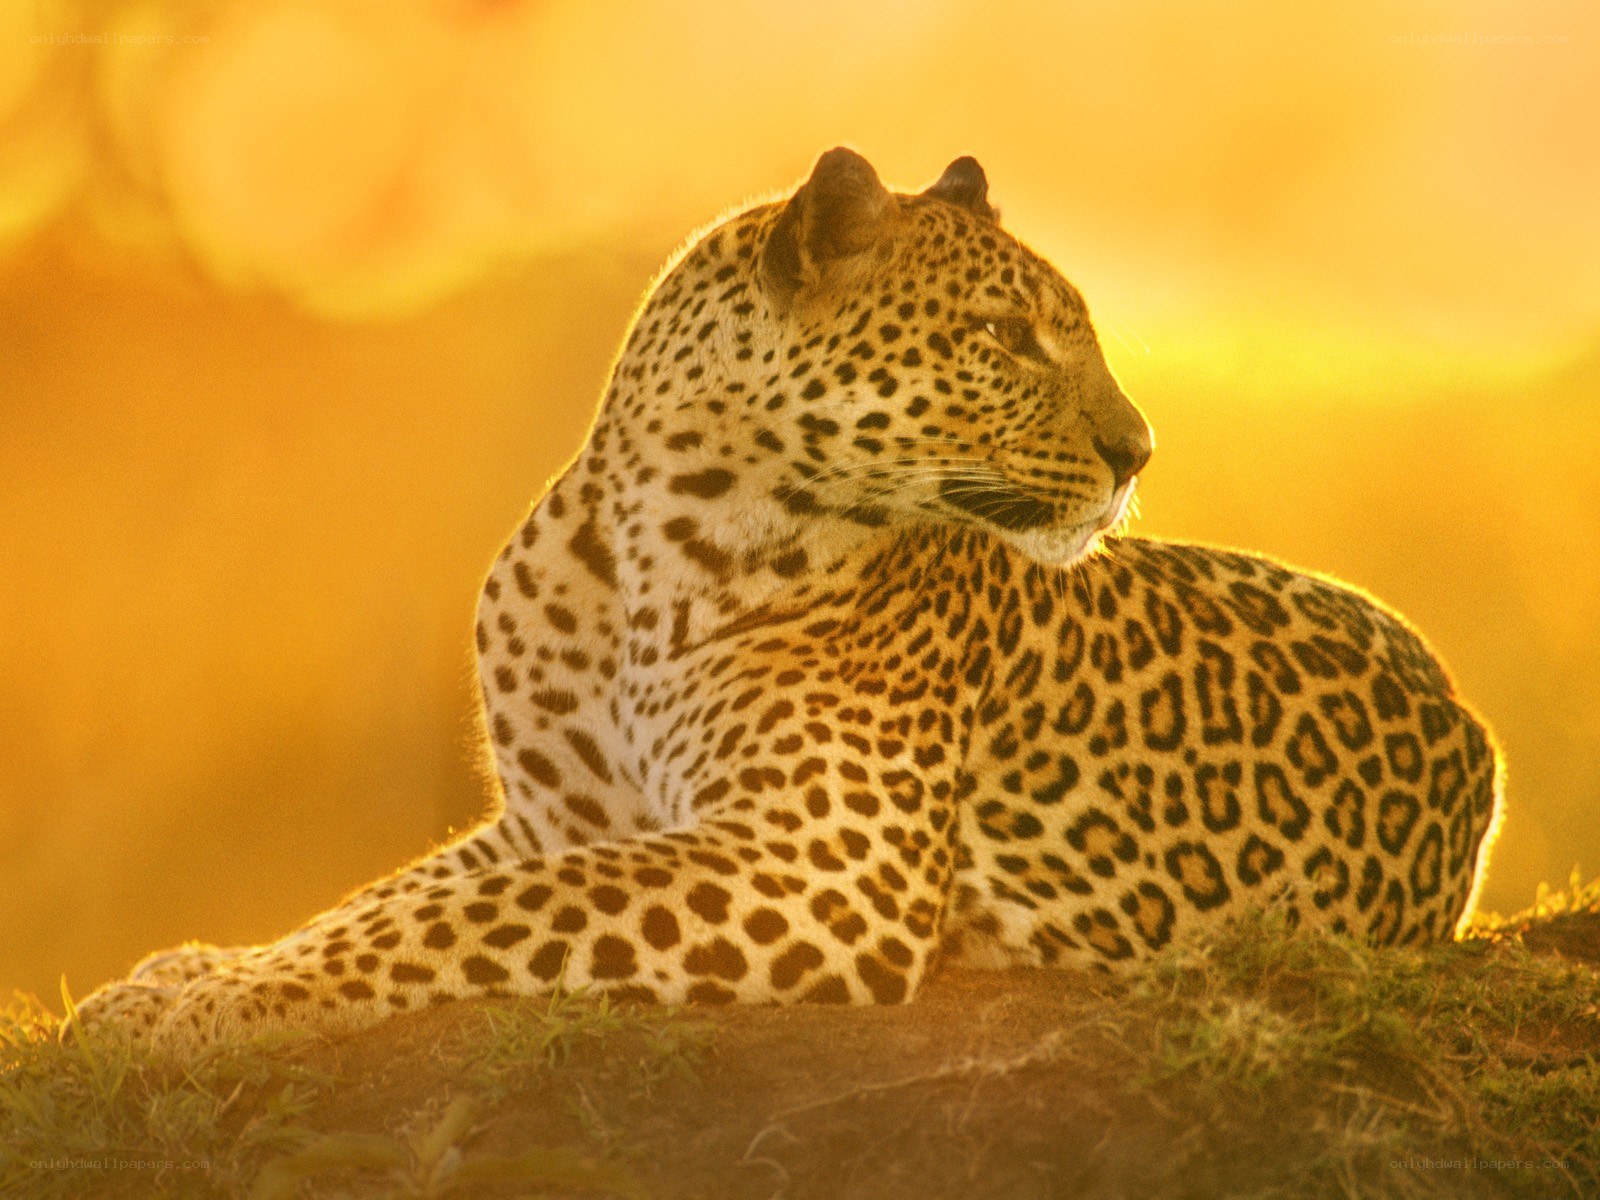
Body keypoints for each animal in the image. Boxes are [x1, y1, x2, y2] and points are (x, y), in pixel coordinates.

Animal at [76, 148, 1503, 1055]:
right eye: (1005, 337)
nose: (1138, 450)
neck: (641, 552)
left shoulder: (821, 863)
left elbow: (463, 915)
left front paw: (206, 1009)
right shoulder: (555, 817)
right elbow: (386, 899)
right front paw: (190, 974)